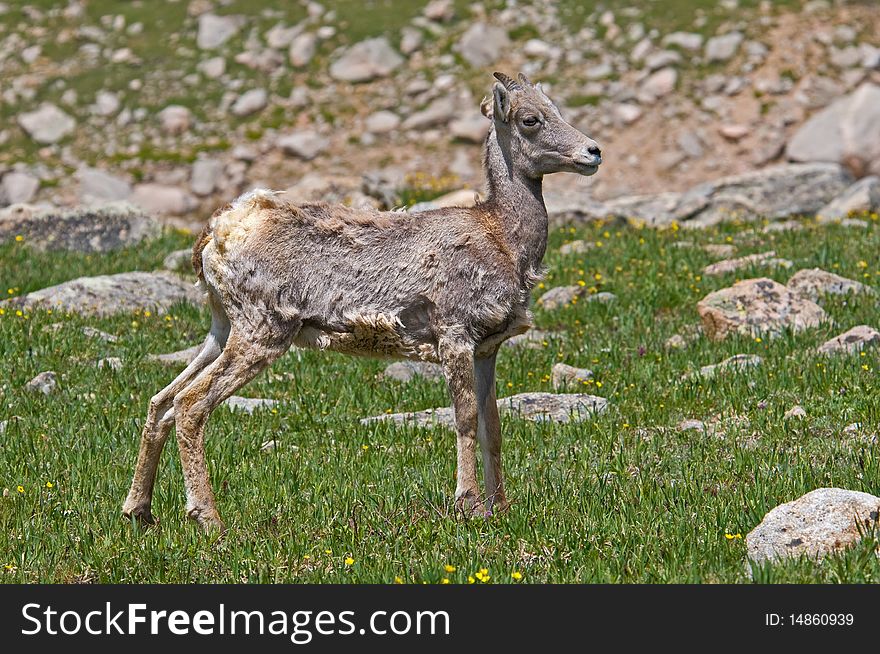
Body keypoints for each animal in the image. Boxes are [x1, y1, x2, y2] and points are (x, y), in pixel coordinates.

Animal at [124, 73, 600, 532]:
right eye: (530, 119)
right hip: (260, 335)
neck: (503, 238)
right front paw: (467, 506)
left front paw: (498, 508)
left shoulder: (487, 350)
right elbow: (465, 418)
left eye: (556, 108)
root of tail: (216, 232)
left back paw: (139, 512)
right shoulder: (455, 337)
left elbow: (493, 426)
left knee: (162, 401)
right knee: (189, 405)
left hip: (221, 332)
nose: (592, 152)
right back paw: (209, 521)